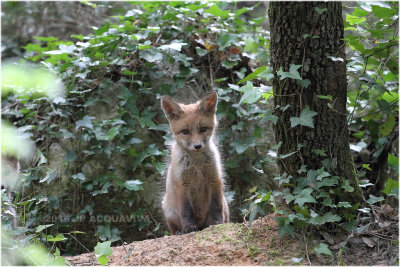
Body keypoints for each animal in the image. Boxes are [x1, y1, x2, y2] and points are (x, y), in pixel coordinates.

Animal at [159, 91, 228, 234]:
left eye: (203, 129)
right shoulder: (182, 183)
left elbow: (216, 206)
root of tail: (201, 225)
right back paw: (179, 232)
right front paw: (188, 228)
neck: (197, 163)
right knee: (173, 229)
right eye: (185, 131)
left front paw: (217, 223)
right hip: (167, 208)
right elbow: (186, 210)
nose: (197, 146)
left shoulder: (214, 177)